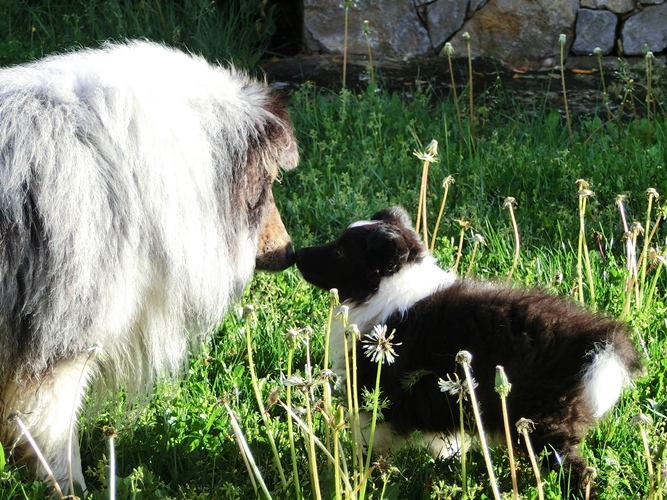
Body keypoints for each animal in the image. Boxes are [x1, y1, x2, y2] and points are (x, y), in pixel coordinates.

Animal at [296, 206, 640, 496]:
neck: (388, 286)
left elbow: (370, 433)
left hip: (541, 423)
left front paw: (359, 469)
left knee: (574, 469)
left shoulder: (379, 387)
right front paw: (445, 456)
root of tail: (587, 338)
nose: (296, 253)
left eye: (339, 251)